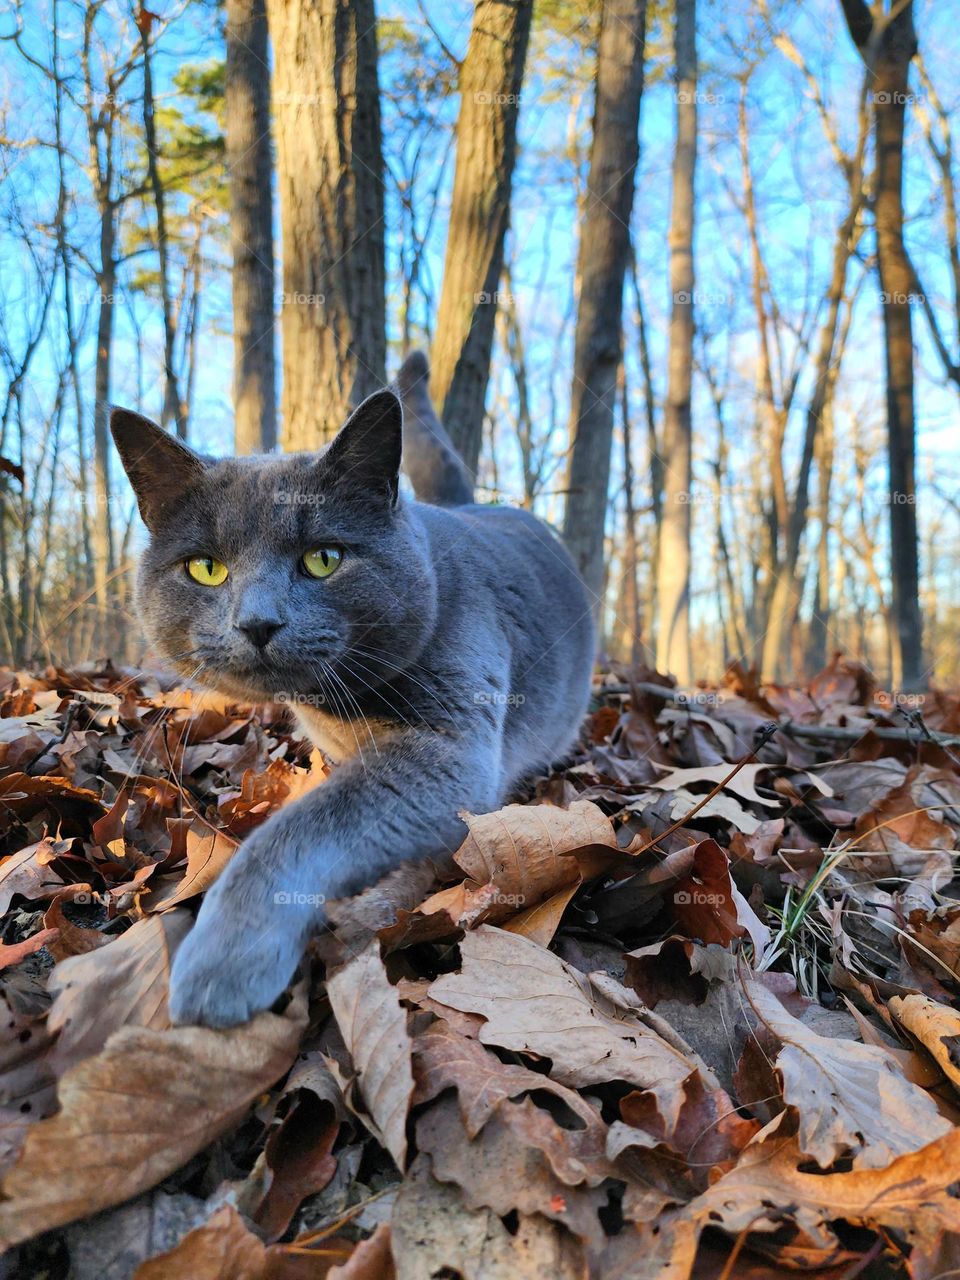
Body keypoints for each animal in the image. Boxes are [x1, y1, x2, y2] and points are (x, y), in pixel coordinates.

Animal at [110, 353, 593, 1029]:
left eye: (324, 558)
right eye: (206, 568)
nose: (258, 622)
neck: (335, 711)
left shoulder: (452, 748)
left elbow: (300, 830)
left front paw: (222, 961)